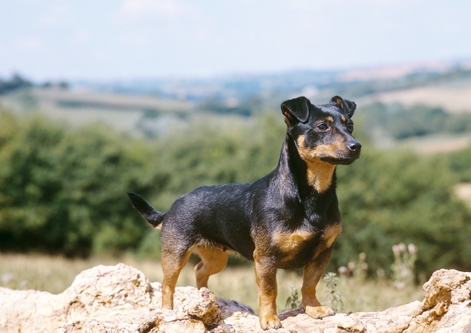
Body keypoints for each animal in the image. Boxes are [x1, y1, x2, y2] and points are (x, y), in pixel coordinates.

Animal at [128, 96, 362, 330]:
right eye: (322, 127)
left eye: (350, 125)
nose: (356, 146)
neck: (313, 193)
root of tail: (172, 206)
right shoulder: (266, 258)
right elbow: (269, 290)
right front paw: (269, 319)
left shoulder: (322, 253)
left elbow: (310, 283)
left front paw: (313, 308)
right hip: (175, 254)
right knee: (168, 284)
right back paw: (168, 312)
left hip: (216, 258)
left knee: (199, 270)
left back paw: (204, 298)